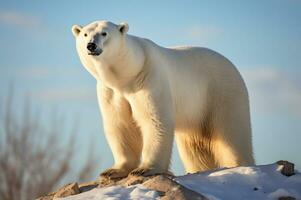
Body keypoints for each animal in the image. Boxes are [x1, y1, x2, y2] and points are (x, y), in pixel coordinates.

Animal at [72, 20, 253, 178]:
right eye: (85, 34)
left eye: (104, 33)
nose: (91, 45)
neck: (128, 74)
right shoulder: (110, 92)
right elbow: (121, 125)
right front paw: (112, 171)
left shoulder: (149, 78)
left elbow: (154, 120)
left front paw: (144, 169)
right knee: (194, 147)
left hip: (221, 92)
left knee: (232, 134)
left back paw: (239, 165)